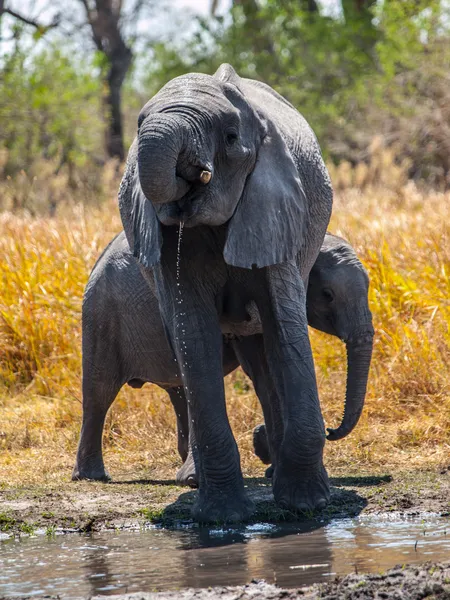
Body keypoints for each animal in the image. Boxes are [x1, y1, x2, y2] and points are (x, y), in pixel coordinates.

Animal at [73, 232, 372, 486]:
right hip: (101, 315)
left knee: (181, 392)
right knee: (99, 393)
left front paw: (271, 461)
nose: (331, 429)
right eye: (328, 295)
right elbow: (261, 371)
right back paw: (93, 477)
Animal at [118, 62, 332, 520]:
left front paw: (307, 505)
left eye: (231, 137)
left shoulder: (275, 208)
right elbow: (194, 340)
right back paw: (197, 482)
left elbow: (286, 329)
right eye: (139, 125)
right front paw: (221, 518)